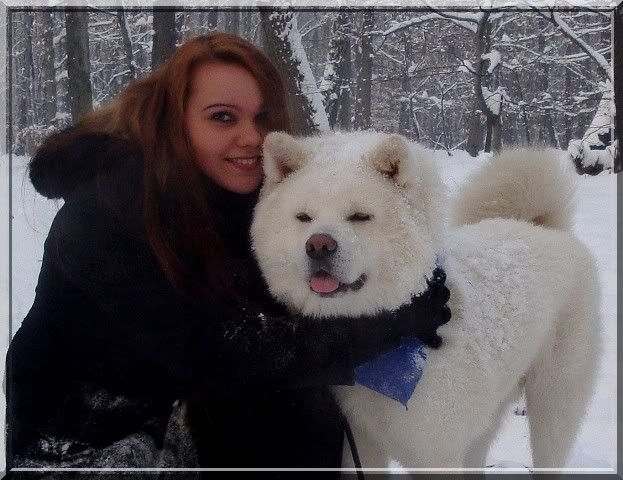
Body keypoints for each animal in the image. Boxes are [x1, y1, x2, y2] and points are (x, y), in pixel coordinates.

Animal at [250, 131, 601, 469]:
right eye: (303, 217)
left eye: (360, 216)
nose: (318, 245)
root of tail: (540, 226)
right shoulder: (362, 445)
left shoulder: (436, 454)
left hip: (554, 406)